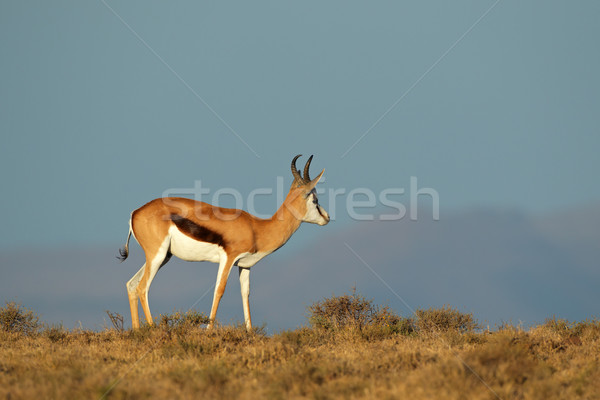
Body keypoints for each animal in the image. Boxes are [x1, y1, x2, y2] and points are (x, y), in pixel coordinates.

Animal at [117, 155, 330, 330]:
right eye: (314, 199)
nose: (327, 217)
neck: (257, 228)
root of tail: (135, 212)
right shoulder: (228, 258)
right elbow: (219, 291)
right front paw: (209, 330)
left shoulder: (244, 265)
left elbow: (245, 293)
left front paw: (250, 332)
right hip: (158, 255)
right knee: (142, 287)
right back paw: (153, 329)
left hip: (162, 257)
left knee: (131, 284)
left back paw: (137, 331)